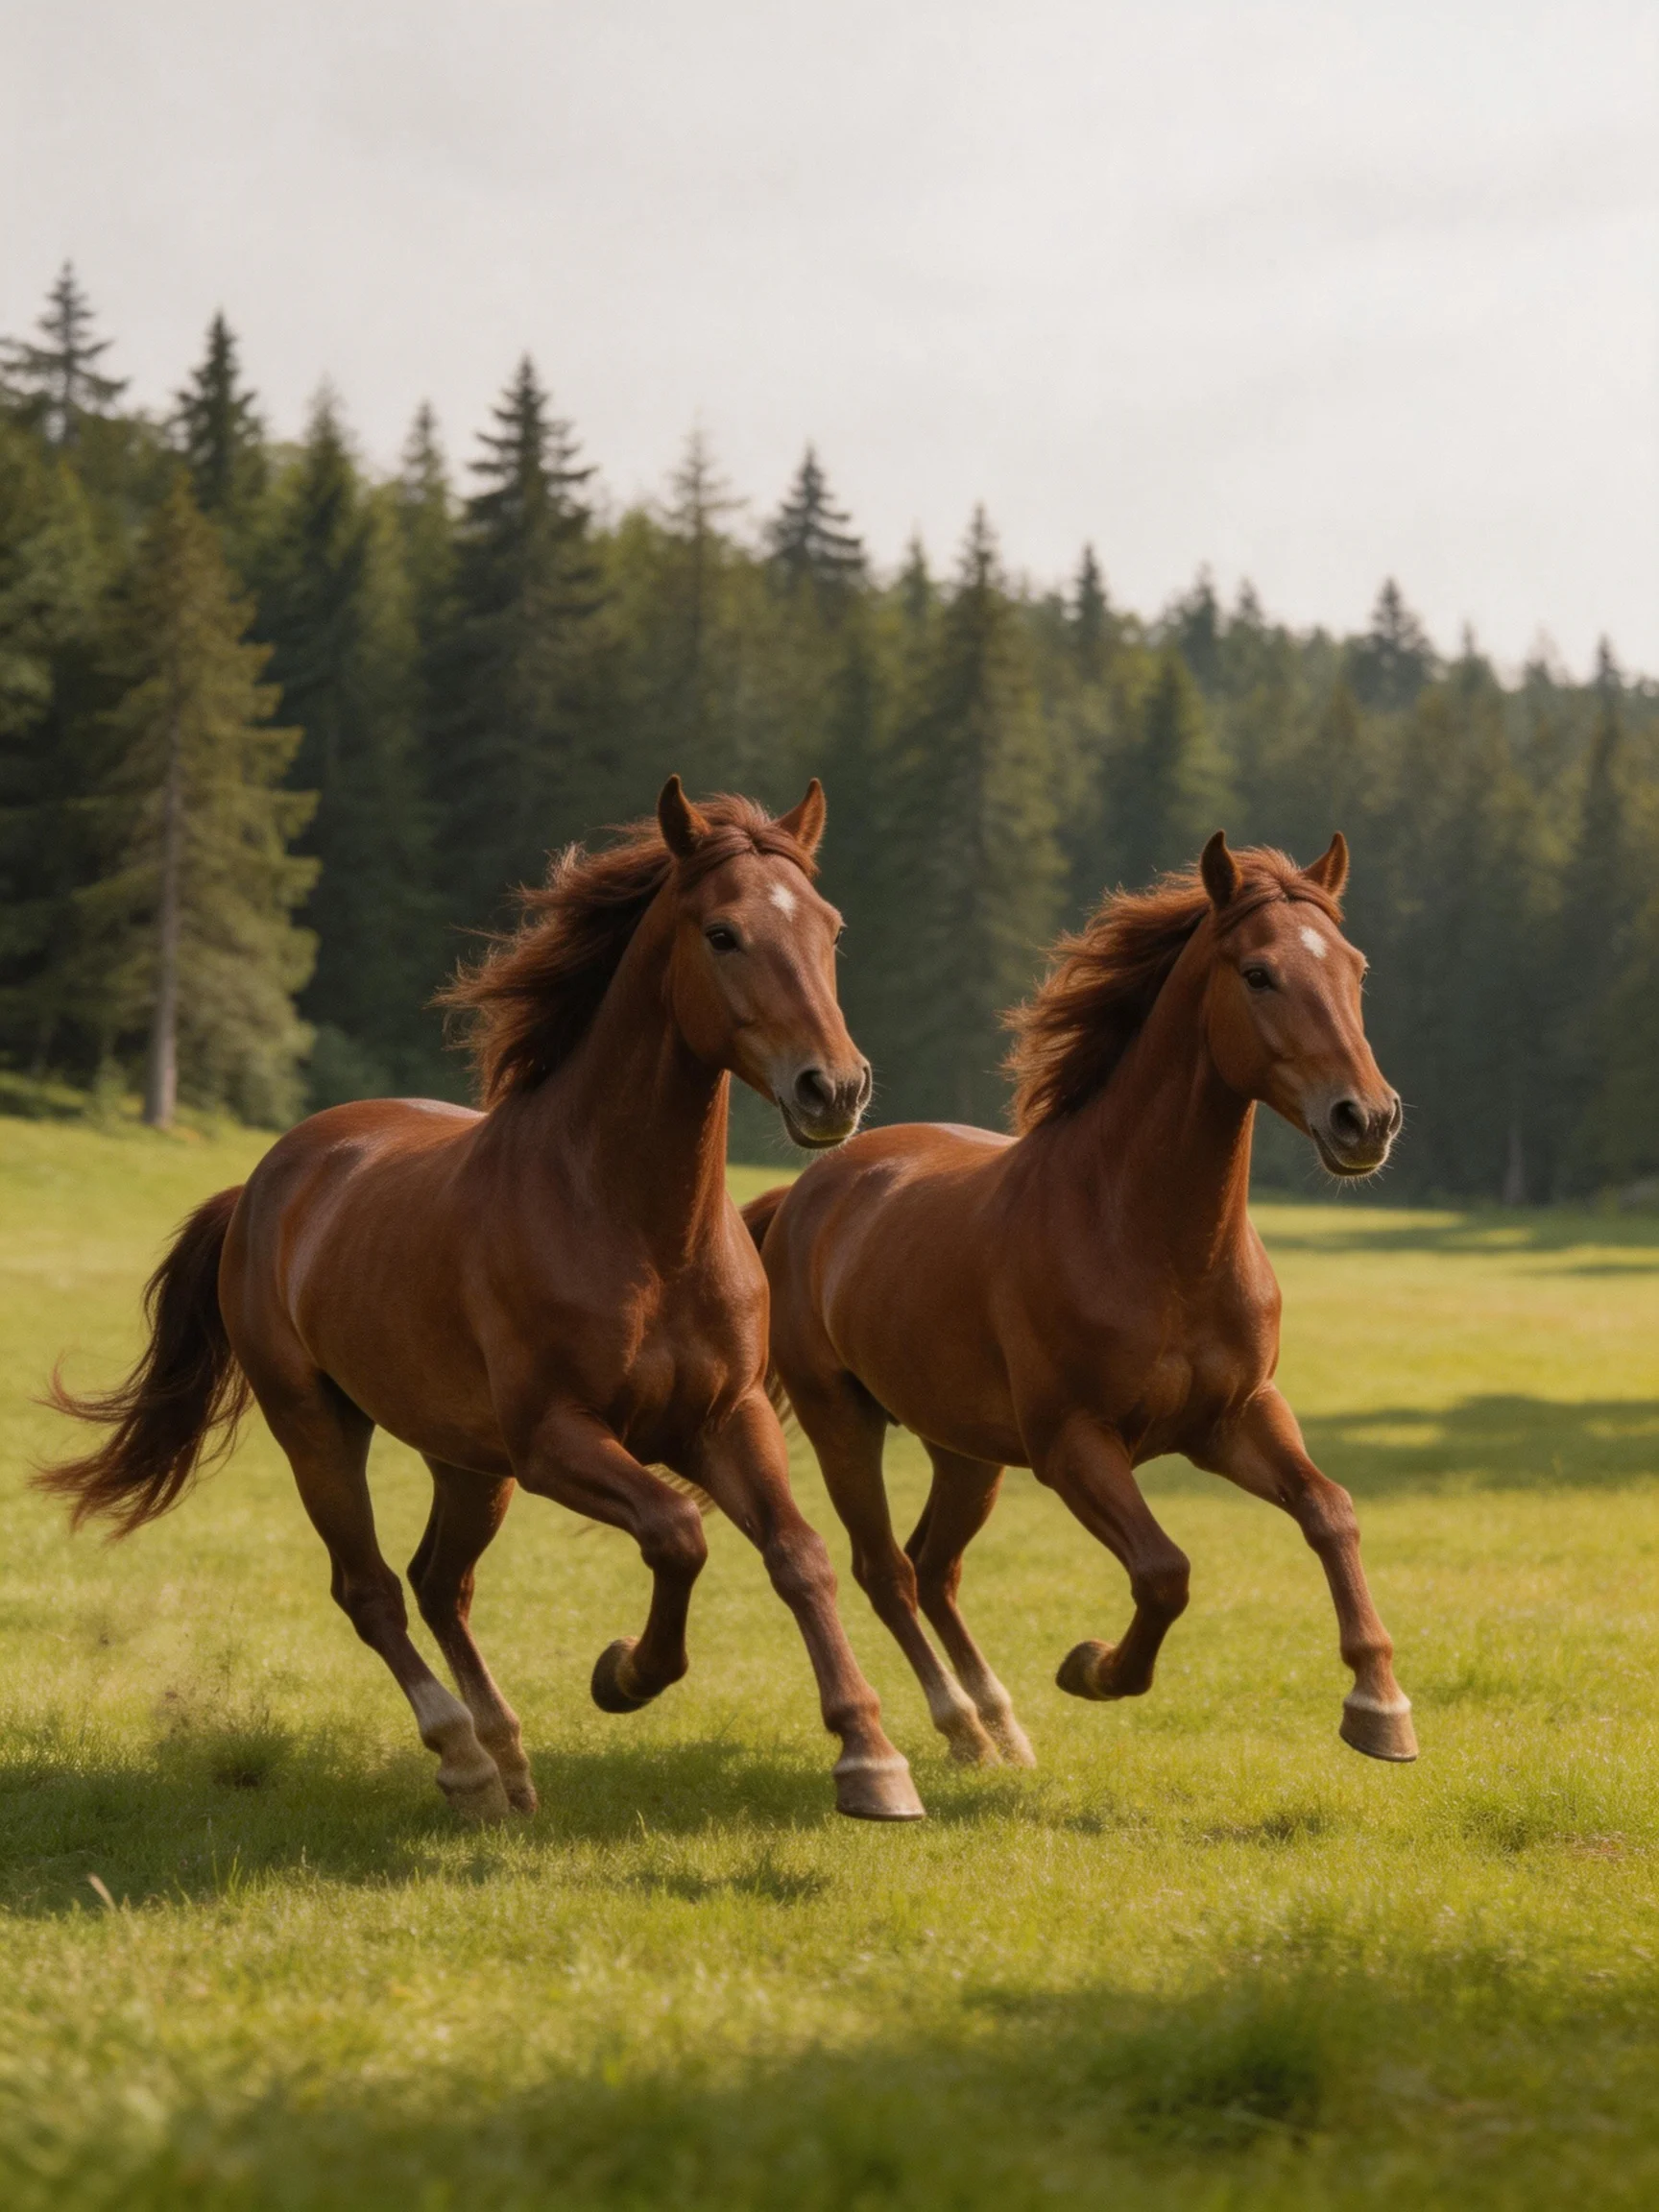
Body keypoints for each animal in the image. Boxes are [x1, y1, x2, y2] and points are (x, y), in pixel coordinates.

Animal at [39, 778, 925, 1824]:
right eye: (722, 934)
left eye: (830, 929)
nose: (834, 1089)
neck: (633, 1225)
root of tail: (261, 1184)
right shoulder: (555, 1440)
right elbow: (677, 1533)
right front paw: (624, 1674)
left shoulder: (726, 1417)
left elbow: (799, 1553)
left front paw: (872, 1760)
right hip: (318, 1428)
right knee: (373, 1589)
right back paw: (463, 1758)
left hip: (465, 1460)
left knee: (439, 1582)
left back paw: (507, 1758)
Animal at [742, 831, 1416, 1772]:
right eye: (1258, 974)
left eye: (1355, 968)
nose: (1367, 1120)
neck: (1154, 1244)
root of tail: (804, 1194)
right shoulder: (1075, 1446)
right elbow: (1165, 1572)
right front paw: (1093, 1669)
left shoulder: (1236, 1417)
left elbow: (1331, 1512)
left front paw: (1380, 1705)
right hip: (844, 1422)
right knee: (888, 1572)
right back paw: (963, 1729)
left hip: (965, 1451)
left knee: (934, 1567)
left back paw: (1002, 1726)